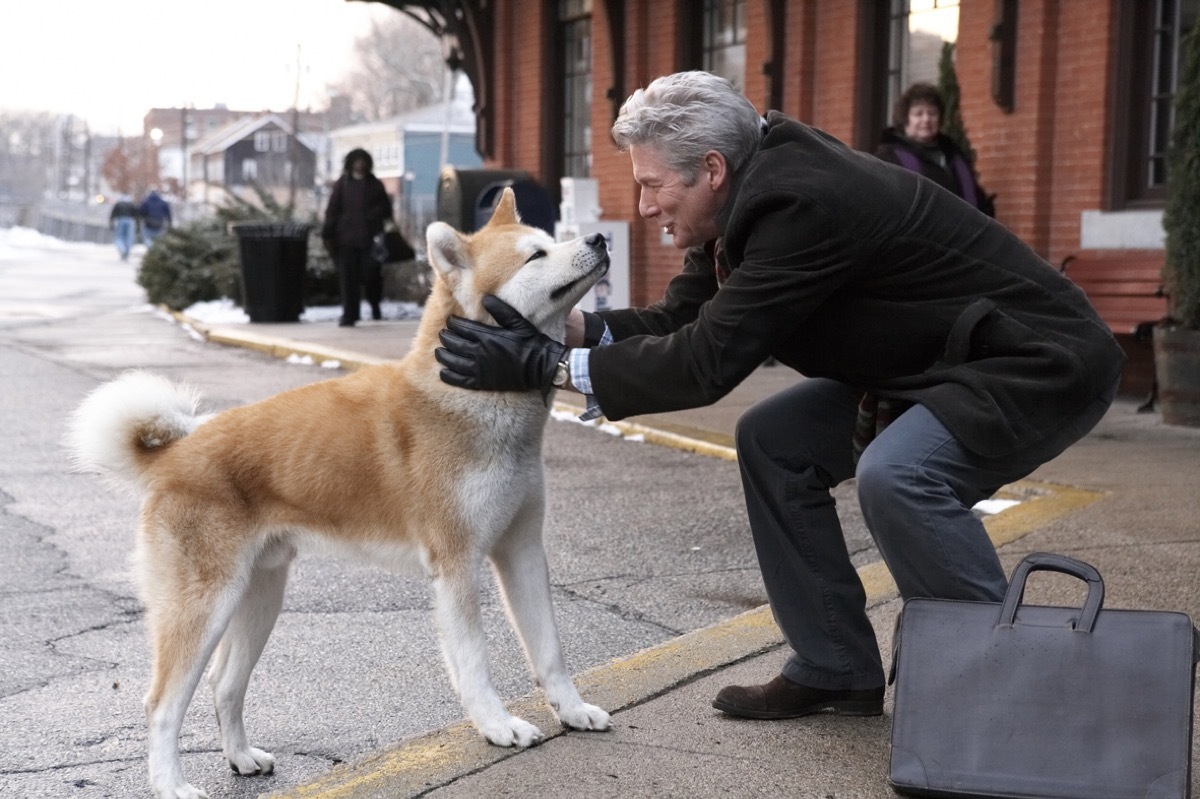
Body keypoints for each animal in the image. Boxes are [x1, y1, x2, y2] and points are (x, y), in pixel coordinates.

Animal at [65, 188, 609, 796]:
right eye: (535, 255)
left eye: (551, 240)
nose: (598, 238)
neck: (474, 396)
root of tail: (174, 455)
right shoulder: (457, 565)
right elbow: (475, 661)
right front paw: (497, 725)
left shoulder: (521, 551)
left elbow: (550, 650)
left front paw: (572, 710)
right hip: (203, 606)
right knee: (161, 704)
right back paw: (172, 784)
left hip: (259, 597)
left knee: (224, 685)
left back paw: (242, 757)